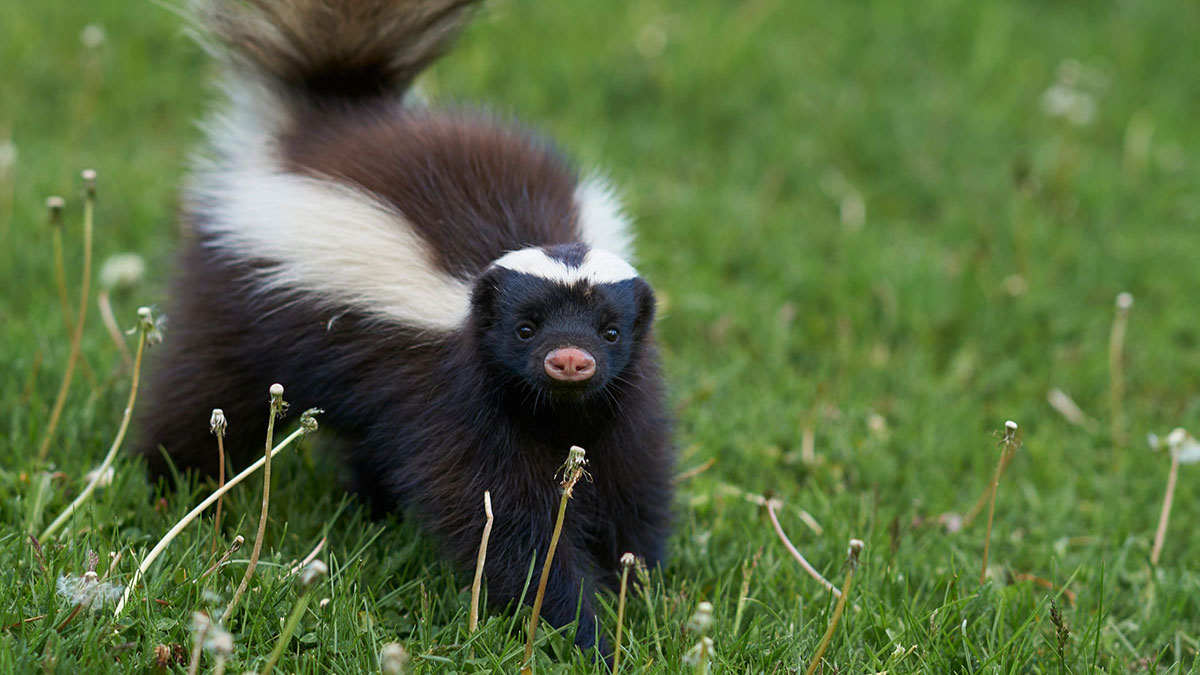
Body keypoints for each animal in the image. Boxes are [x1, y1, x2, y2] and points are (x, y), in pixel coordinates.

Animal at [135, 0, 676, 653]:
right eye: (525, 328)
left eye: (610, 331)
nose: (570, 359)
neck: (555, 410)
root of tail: (332, 122)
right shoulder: (462, 400)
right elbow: (503, 517)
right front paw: (574, 625)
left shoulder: (621, 400)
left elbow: (631, 486)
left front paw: (636, 597)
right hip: (232, 305)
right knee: (199, 396)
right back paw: (168, 482)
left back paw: (372, 509)